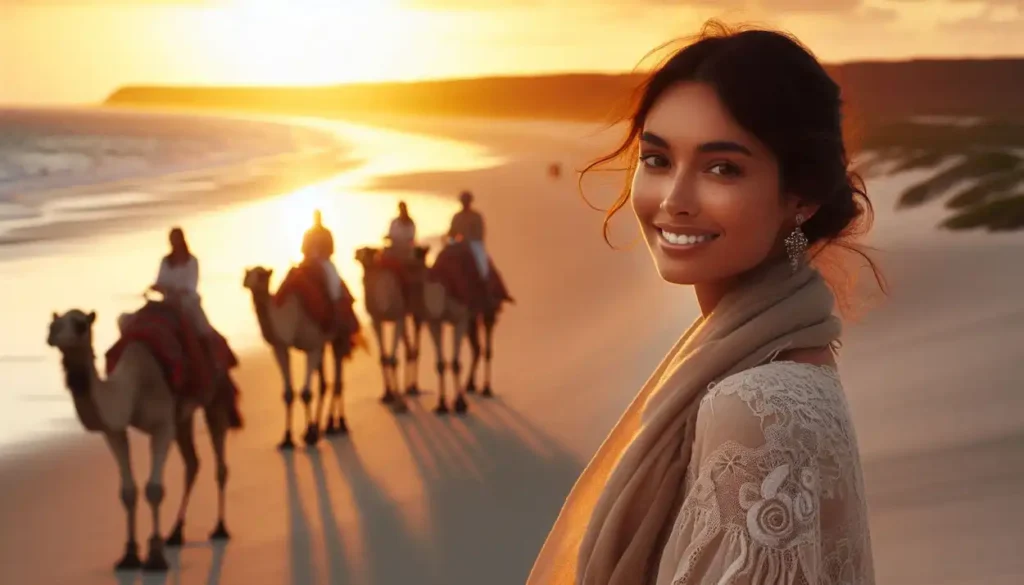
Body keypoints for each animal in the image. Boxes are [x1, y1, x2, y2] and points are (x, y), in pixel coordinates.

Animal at [46, 309, 239, 573]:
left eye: (80, 324)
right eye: (54, 323)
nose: (51, 335)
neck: (133, 387)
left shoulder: (161, 425)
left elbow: (154, 489)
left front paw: (155, 557)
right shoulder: (115, 431)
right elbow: (128, 492)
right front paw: (129, 555)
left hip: (215, 396)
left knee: (220, 464)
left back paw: (220, 528)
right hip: (182, 416)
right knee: (192, 462)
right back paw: (175, 533)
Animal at [242, 266, 364, 448]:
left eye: (262, 275)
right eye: (248, 273)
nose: (246, 281)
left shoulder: (311, 346)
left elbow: (306, 393)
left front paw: (311, 436)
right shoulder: (280, 347)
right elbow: (289, 393)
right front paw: (288, 438)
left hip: (339, 337)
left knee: (338, 380)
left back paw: (338, 424)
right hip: (323, 344)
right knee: (324, 384)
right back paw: (321, 426)